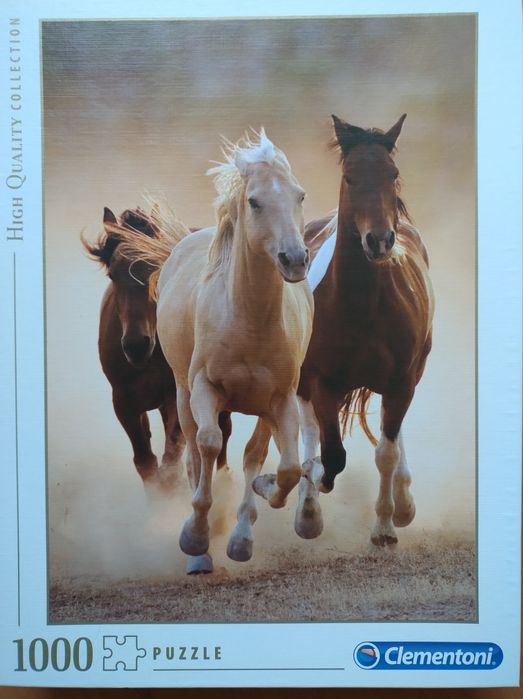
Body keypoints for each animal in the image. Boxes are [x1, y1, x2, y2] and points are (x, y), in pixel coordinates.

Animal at [82, 205, 233, 503]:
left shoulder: (175, 396)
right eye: (112, 275)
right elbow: (146, 462)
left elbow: (171, 460)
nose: (136, 345)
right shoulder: (124, 401)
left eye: (156, 268)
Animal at [116, 131, 313, 572]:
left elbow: (286, 467)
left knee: (255, 453)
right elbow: (207, 446)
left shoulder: (281, 400)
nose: (294, 259)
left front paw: (262, 498)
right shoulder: (204, 389)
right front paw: (195, 536)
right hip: (181, 394)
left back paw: (240, 536)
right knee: (193, 451)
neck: (249, 320)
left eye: (300, 195)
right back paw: (201, 550)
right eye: (254, 201)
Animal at [293, 114, 434, 548]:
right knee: (309, 430)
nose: (380, 240)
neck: (362, 306)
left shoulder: (402, 379)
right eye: (350, 177)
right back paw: (307, 510)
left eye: (393, 174)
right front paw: (312, 489)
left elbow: (385, 451)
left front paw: (386, 526)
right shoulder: (321, 380)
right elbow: (331, 455)